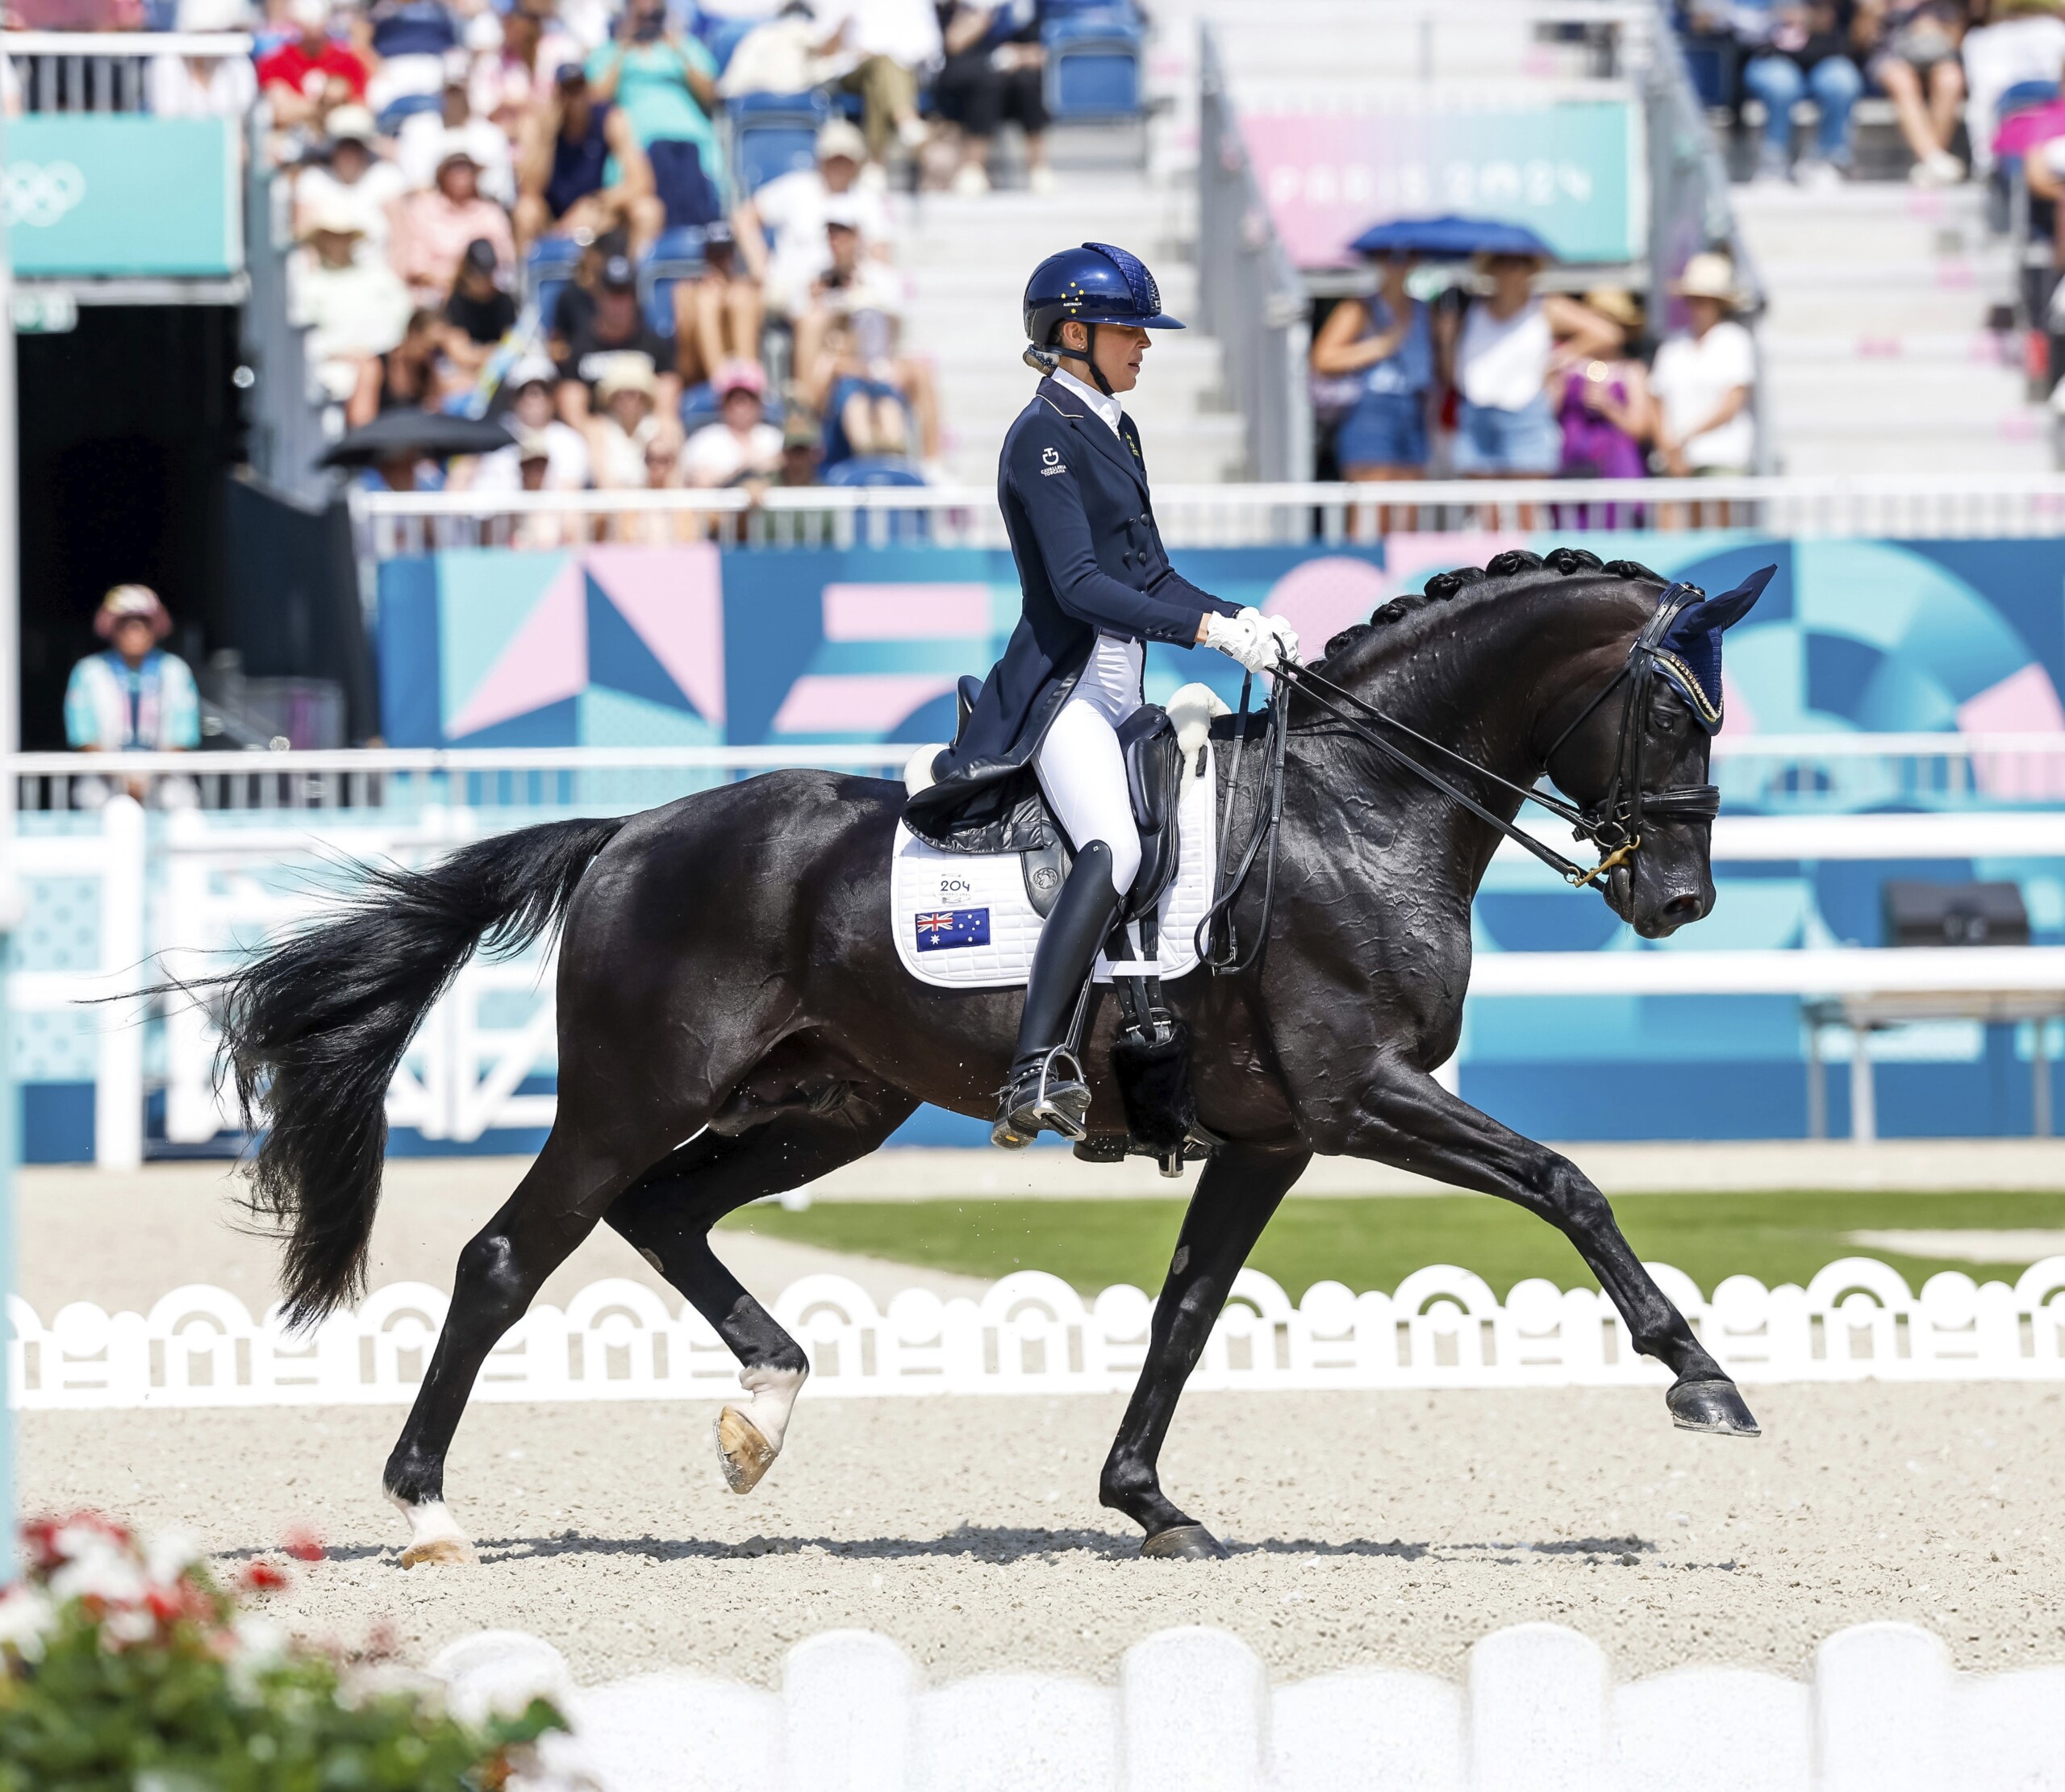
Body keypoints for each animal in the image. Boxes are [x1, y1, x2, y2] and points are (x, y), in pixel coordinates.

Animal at [213, 547, 1765, 1567]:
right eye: (1673, 709)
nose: (1681, 901)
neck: (1359, 808)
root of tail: (630, 833)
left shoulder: (1273, 1134)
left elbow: (1186, 1311)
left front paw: (1148, 1501)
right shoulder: (1362, 1093)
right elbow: (1565, 1182)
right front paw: (1703, 1378)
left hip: (832, 1103)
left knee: (666, 1212)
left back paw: (760, 1414)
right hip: (631, 1094)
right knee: (506, 1258)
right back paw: (427, 1508)